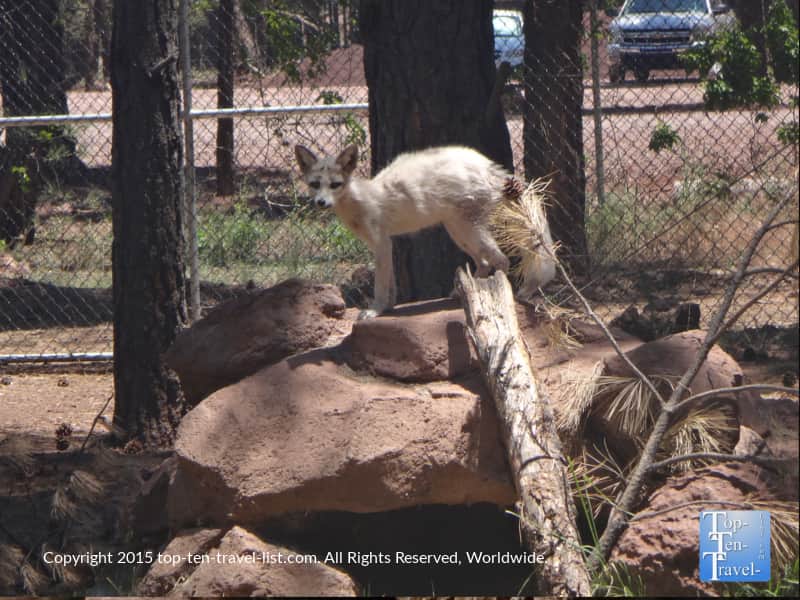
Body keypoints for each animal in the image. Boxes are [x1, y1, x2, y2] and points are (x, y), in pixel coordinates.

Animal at [294, 143, 556, 318]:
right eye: (315, 184)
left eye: (335, 185)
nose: (321, 203)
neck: (363, 199)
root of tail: (488, 167)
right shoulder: (386, 244)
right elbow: (391, 285)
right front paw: (388, 308)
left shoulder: (382, 244)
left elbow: (381, 285)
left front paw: (375, 310)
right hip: (459, 233)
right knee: (484, 263)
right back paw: (464, 294)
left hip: (469, 231)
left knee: (501, 261)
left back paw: (496, 294)